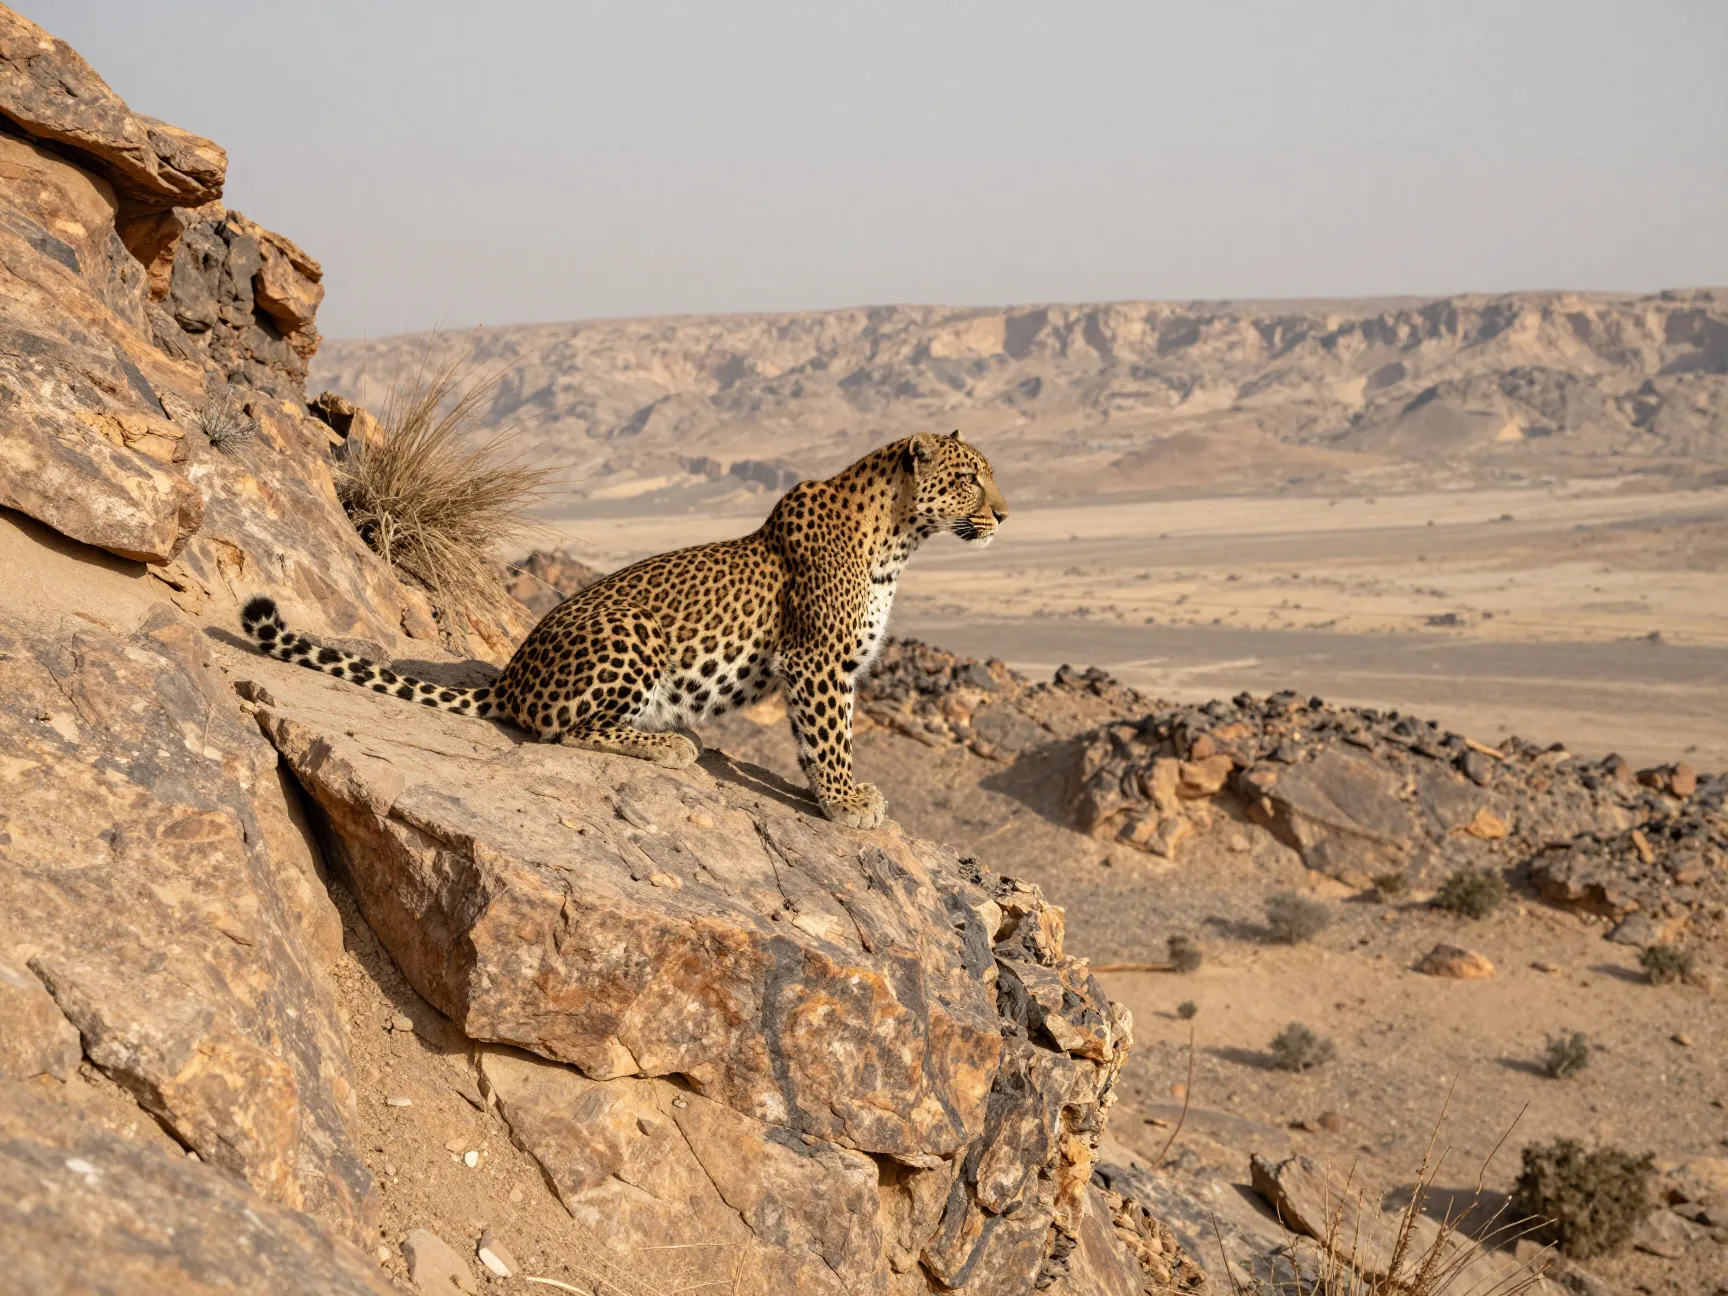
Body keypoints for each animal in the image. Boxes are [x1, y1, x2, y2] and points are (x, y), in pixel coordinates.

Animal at [242, 430, 1008, 828]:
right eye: (970, 479)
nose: (1004, 515)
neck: (900, 540)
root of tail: (510, 678)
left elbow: (823, 736)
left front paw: (842, 796)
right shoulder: (817, 660)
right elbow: (829, 738)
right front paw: (848, 802)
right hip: (631, 631)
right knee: (565, 730)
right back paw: (670, 744)